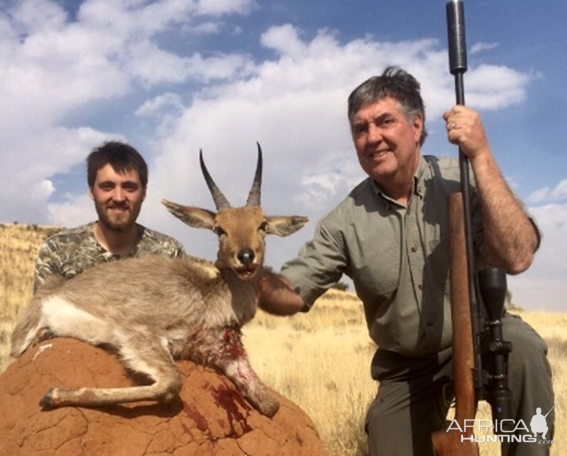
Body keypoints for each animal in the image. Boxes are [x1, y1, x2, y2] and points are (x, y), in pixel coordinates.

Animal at [10, 144, 310, 418]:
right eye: (219, 228)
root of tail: (52, 289)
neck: (209, 301)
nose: (246, 257)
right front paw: (52, 394)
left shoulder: (227, 356)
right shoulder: (138, 334)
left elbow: (271, 405)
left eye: (262, 224)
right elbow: (172, 384)